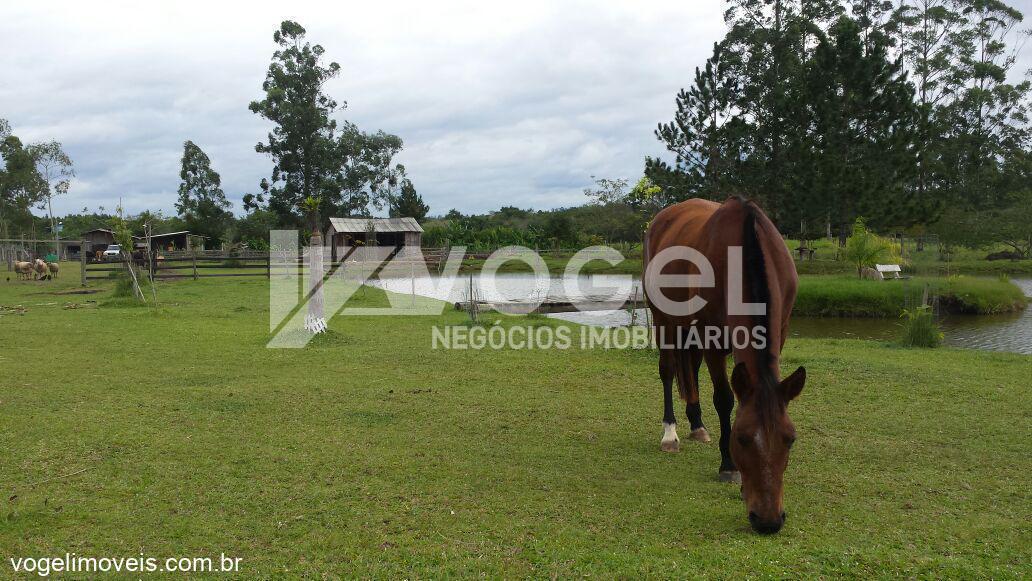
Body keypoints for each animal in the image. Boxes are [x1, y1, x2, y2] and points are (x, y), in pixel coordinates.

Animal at [643, 198, 804, 532]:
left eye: (791, 439)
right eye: (740, 438)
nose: (768, 521)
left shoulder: (781, 330)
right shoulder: (712, 338)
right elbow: (724, 399)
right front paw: (729, 467)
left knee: (690, 370)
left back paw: (697, 425)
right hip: (663, 319)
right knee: (668, 370)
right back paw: (670, 434)